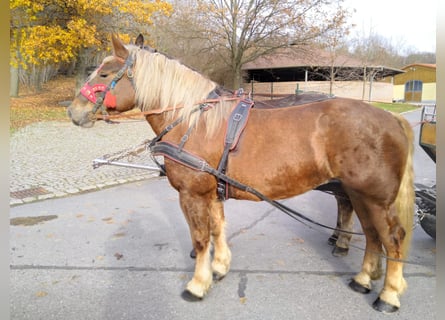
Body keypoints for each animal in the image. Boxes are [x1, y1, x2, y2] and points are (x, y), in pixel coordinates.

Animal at [67, 35, 414, 312]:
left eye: (105, 73)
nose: (73, 112)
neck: (192, 120)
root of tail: (391, 118)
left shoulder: (192, 194)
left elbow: (201, 237)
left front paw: (198, 284)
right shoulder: (212, 192)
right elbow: (218, 228)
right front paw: (220, 267)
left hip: (374, 197)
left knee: (392, 238)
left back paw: (388, 294)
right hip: (361, 194)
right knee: (372, 235)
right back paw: (364, 277)